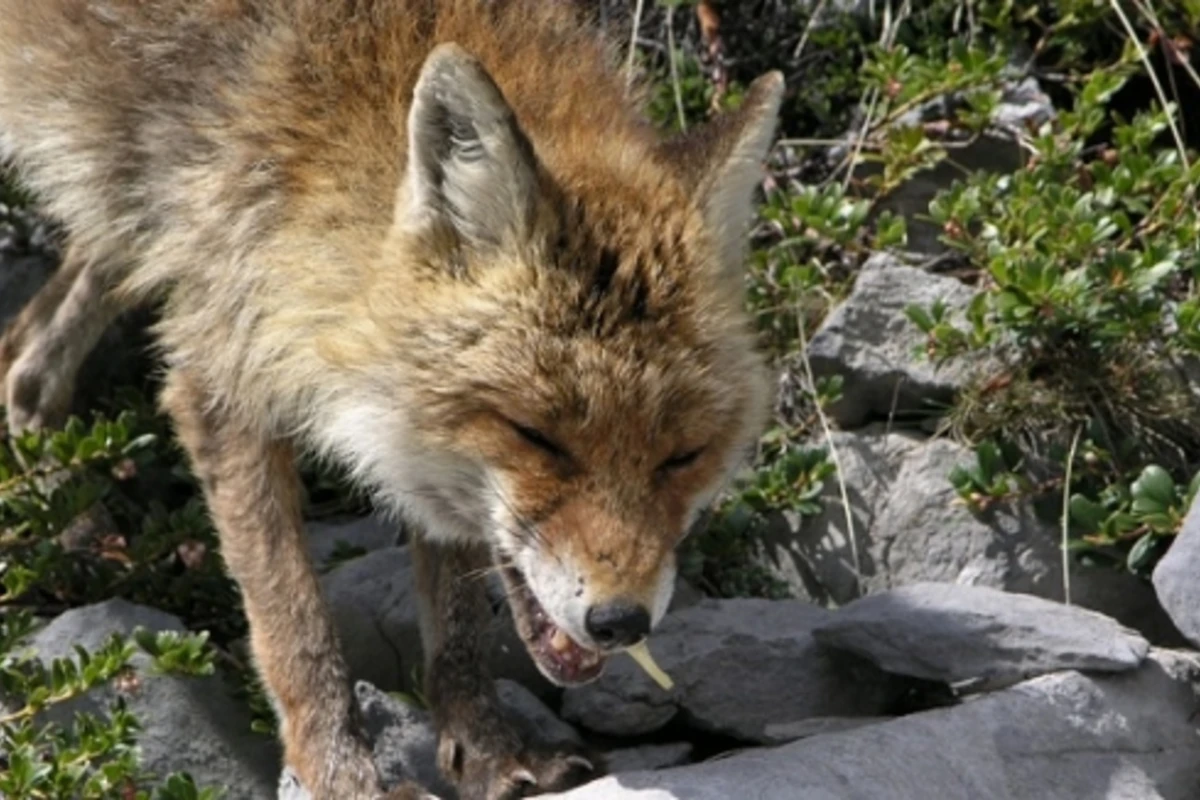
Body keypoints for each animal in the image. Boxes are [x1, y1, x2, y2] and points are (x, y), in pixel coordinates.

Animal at [0, 1, 783, 798]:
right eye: (536, 435)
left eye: (682, 456)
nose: (621, 621)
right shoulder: (222, 375)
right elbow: (295, 626)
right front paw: (339, 774)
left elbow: (458, 617)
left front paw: (488, 750)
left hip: (125, 214)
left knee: (27, 358)